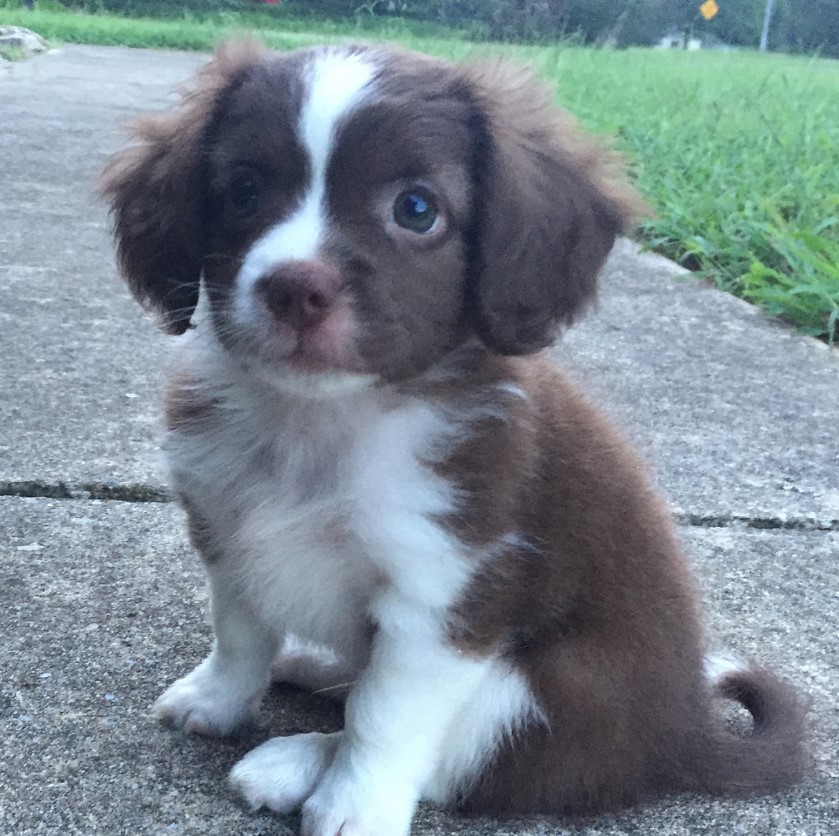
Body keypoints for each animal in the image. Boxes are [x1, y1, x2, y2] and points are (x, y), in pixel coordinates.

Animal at [101, 42, 812, 836]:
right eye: (245, 191)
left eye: (417, 209)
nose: (293, 288)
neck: (320, 425)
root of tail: (687, 736)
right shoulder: (229, 533)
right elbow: (240, 633)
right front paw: (217, 700)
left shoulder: (443, 594)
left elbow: (386, 716)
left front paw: (354, 805)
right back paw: (313, 665)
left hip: (532, 695)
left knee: (453, 762)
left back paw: (295, 761)